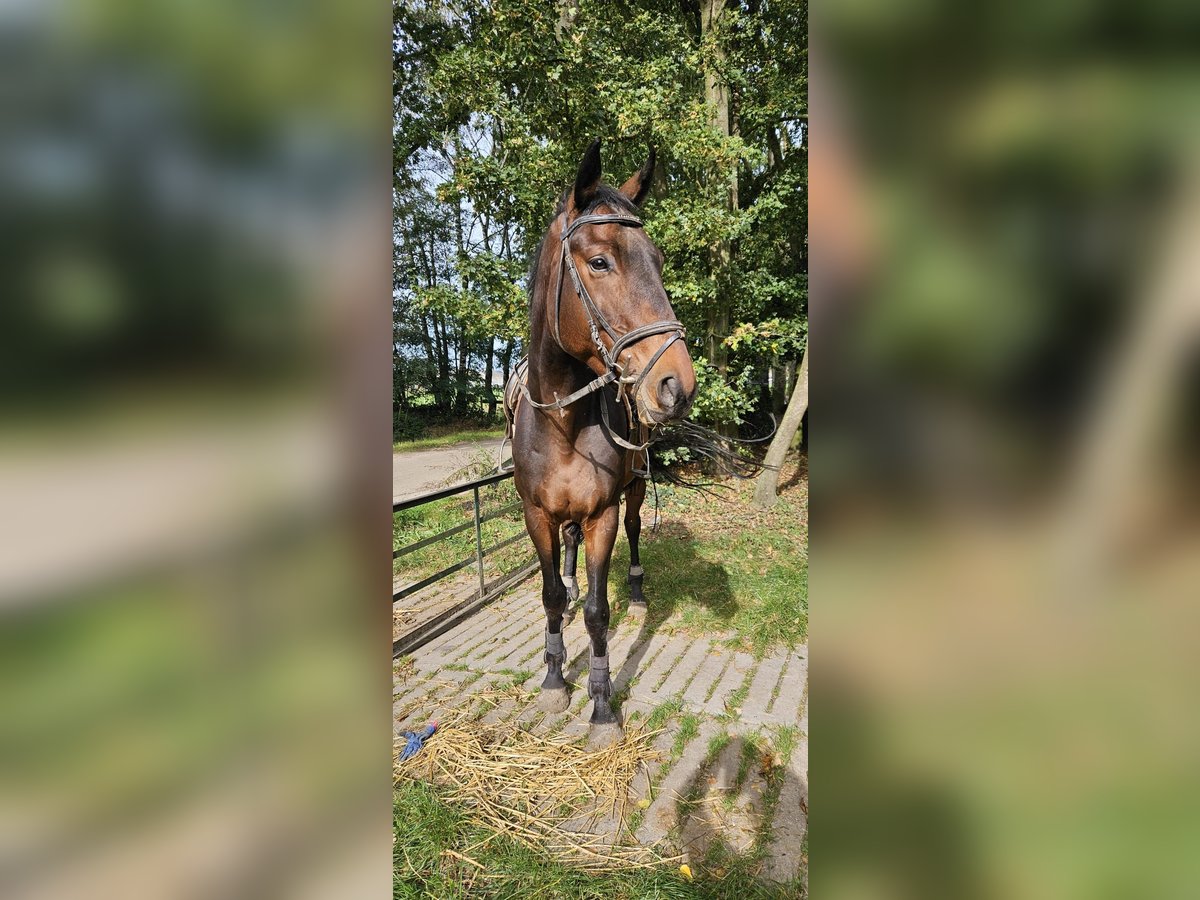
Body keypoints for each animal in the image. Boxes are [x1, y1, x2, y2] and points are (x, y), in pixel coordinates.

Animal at [504, 139, 696, 748]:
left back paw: (635, 591)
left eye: (658, 261)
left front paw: (603, 704)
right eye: (599, 262)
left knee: (636, 529)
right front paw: (552, 680)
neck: (563, 424)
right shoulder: (537, 513)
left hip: (633, 488)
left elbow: (597, 611)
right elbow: (550, 595)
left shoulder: (602, 516)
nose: (677, 386)